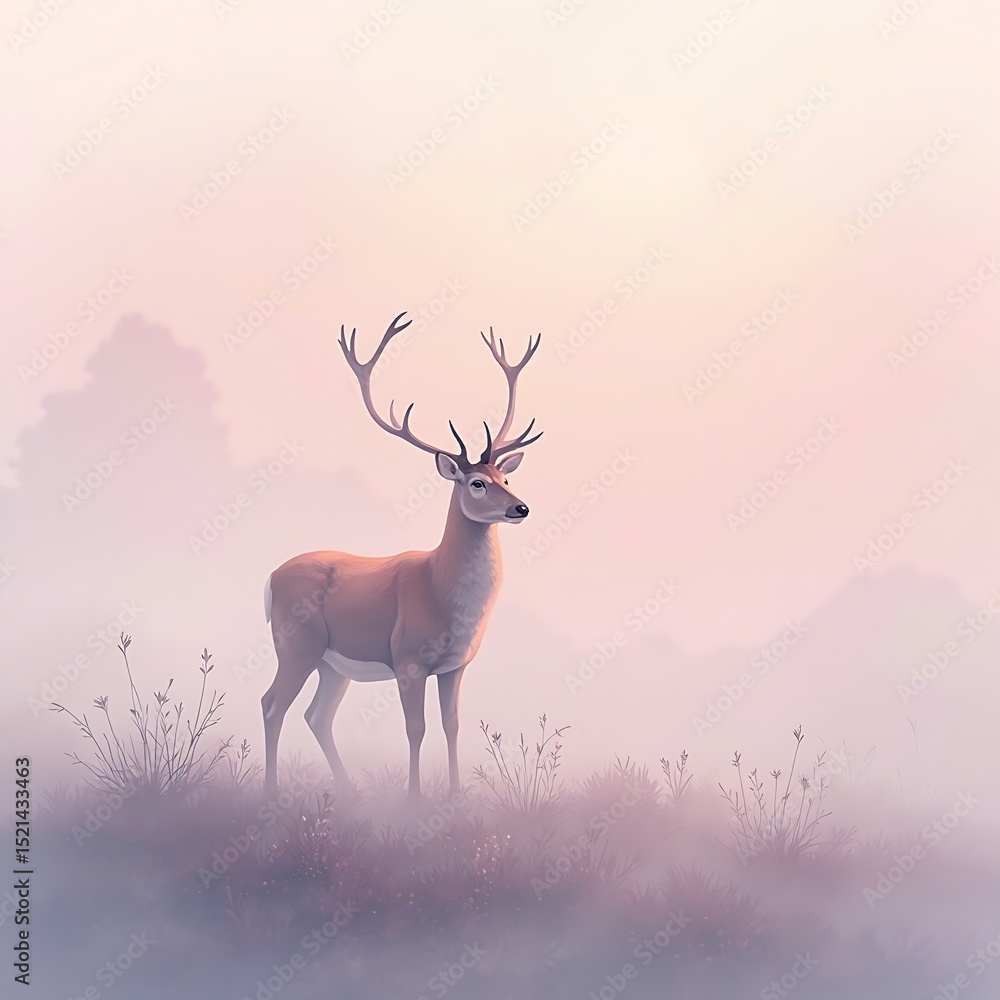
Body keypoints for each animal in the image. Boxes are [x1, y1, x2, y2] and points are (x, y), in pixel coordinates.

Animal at [261, 312, 543, 798]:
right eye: (477, 483)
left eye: (504, 478)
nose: (520, 508)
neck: (442, 591)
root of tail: (270, 579)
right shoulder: (407, 656)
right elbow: (416, 728)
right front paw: (413, 799)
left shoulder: (455, 666)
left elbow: (451, 726)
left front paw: (455, 796)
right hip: (296, 642)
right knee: (272, 703)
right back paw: (272, 792)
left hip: (332, 663)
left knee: (316, 715)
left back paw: (349, 793)